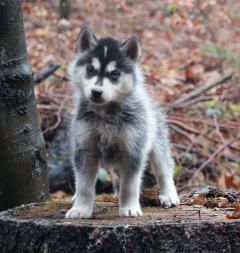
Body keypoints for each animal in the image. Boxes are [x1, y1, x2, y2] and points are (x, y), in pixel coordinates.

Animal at [64, 26, 179, 218]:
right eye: (90, 69)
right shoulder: (84, 149)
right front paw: (81, 209)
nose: (96, 92)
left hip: (156, 143)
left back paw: (169, 194)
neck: (105, 115)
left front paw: (129, 207)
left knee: (163, 169)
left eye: (115, 74)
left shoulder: (132, 151)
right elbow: (84, 186)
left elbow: (129, 186)